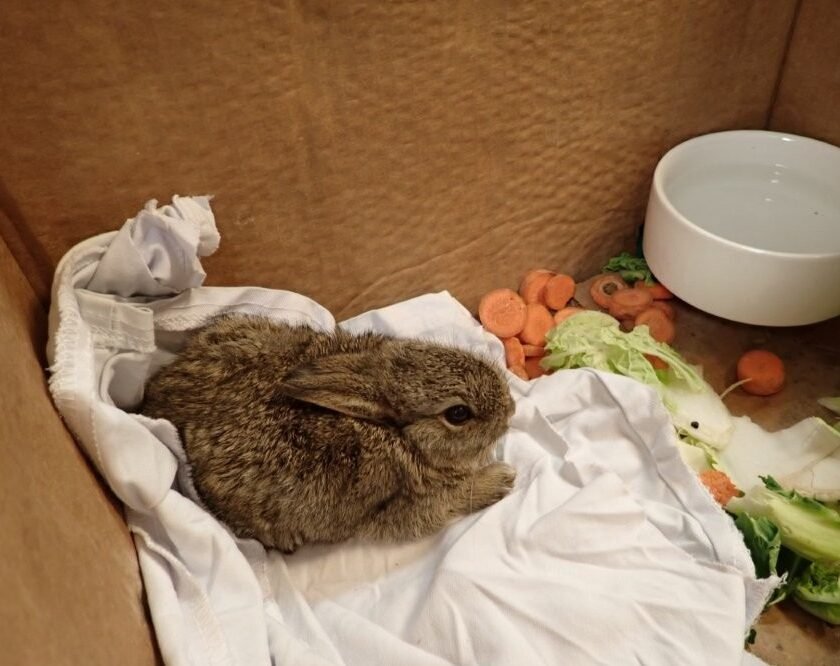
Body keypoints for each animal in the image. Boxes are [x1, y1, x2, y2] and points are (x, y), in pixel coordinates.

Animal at [141, 313, 517, 553]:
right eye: (458, 414)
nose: (511, 409)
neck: (397, 434)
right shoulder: (399, 508)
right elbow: (447, 502)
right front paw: (502, 479)